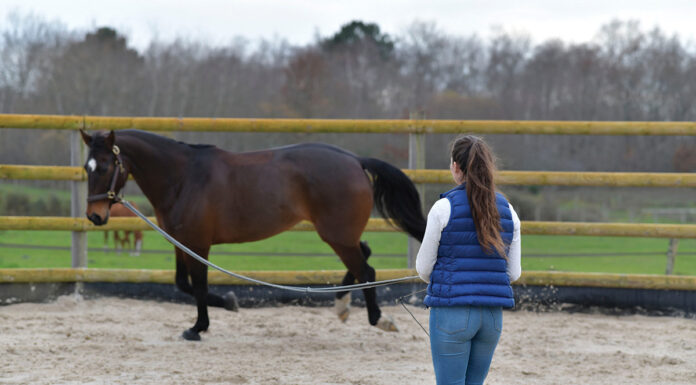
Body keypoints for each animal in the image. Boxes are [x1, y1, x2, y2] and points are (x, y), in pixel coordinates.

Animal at [77, 129, 424, 340]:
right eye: (86, 167)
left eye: (105, 166)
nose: (95, 216)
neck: (183, 178)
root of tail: (354, 160)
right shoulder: (180, 242)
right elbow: (182, 284)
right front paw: (228, 303)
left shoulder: (199, 244)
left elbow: (199, 286)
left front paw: (199, 326)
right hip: (340, 234)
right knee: (363, 256)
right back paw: (341, 306)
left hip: (336, 234)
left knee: (366, 269)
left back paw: (378, 319)